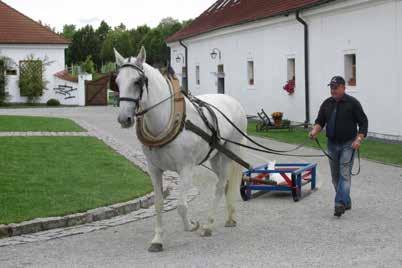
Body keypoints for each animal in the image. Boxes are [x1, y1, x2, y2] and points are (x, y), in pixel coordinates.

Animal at [114, 47, 247, 252]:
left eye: (137, 81)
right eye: (117, 82)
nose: (124, 119)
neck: (165, 120)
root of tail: (234, 101)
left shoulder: (186, 169)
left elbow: (181, 206)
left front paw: (191, 225)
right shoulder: (154, 169)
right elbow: (159, 204)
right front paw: (157, 239)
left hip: (228, 152)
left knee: (219, 185)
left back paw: (208, 225)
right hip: (215, 156)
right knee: (223, 184)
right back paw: (229, 217)